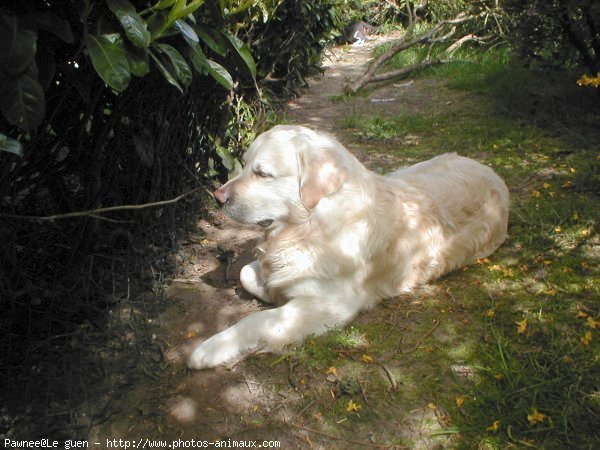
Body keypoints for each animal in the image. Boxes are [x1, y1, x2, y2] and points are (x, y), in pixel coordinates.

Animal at [186, 124, 506, 370]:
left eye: (262, 173)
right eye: (243, 164)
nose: (217, 196)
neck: (312, 224)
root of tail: (491, 172)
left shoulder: (332, 305)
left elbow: (257, 320)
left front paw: (210, 348)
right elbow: (247, 274)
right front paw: (271, 289)